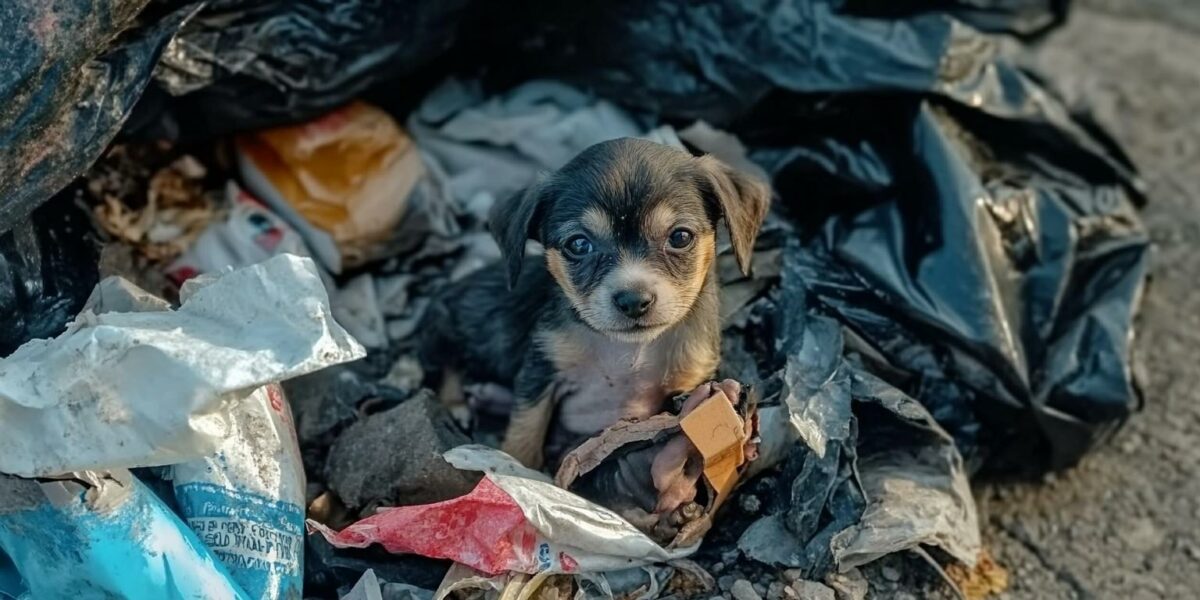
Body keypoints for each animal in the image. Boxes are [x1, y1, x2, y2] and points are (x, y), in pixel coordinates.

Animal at [420, 137, 768, 468]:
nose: (633, 301)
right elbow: (524, 435)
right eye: (579, 245)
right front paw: (516, 467)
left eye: (680, 237)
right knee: (448, 363)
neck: (629, 351)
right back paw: (457, 404)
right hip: (446, 324)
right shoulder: (541, 375)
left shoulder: (688, 383)